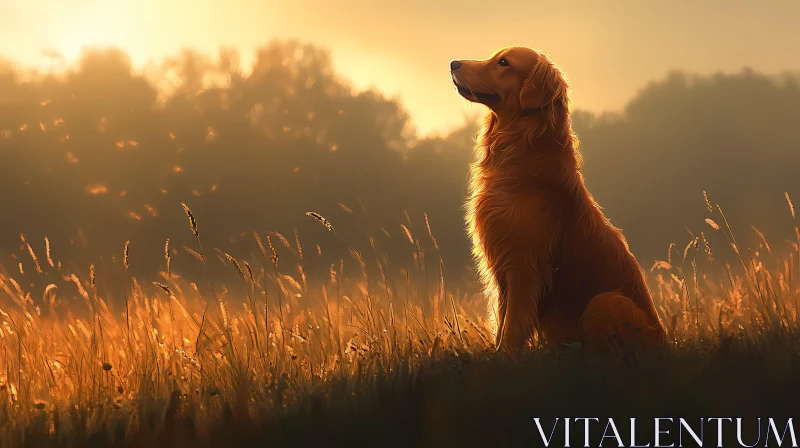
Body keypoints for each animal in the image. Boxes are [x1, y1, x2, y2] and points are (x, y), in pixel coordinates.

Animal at [450, 46, 668, 354]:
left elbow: (512, 328)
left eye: (503, 62)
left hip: (606, 302)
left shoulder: (523, 267)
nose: (453, 63)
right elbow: (502, 324)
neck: (522, 147)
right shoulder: (503, 269)